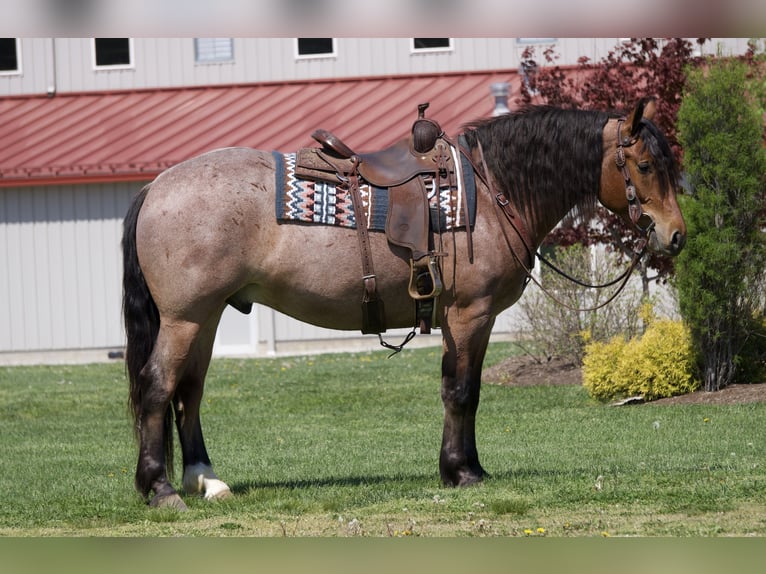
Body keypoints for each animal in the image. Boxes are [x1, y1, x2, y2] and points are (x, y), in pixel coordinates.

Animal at [122, 97, 686, 509]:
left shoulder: (474, 320)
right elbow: (461, 392)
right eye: (644, 164)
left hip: (206, 316)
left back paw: (206, 480)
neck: (491, 192)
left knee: (189, 392)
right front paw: (460, 472)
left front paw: (468, 467)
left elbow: (467, 391)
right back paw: (161, 489)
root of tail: (157, 185)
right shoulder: (469, 313)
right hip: (185, 318)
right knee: (158, 387)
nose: (676, 235)